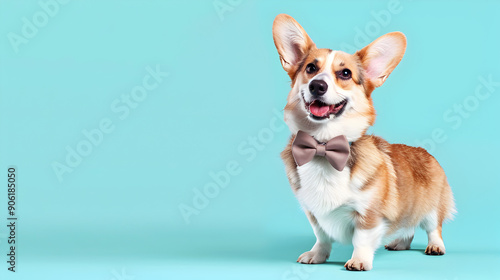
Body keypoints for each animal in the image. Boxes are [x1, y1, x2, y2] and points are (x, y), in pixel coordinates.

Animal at [272, 14, 456, 272]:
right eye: (311, 68)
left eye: (345, 74)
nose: (317, 85)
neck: (323, 146)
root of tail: (425, 152)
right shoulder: (314, 212)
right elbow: (321, 236)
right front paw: (317, 255)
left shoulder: (370, 214)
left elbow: (362, 238)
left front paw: (358, 261)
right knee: (408, 227)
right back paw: (400, 243)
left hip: (431, 207)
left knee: (433, 227)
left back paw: (435, 246)